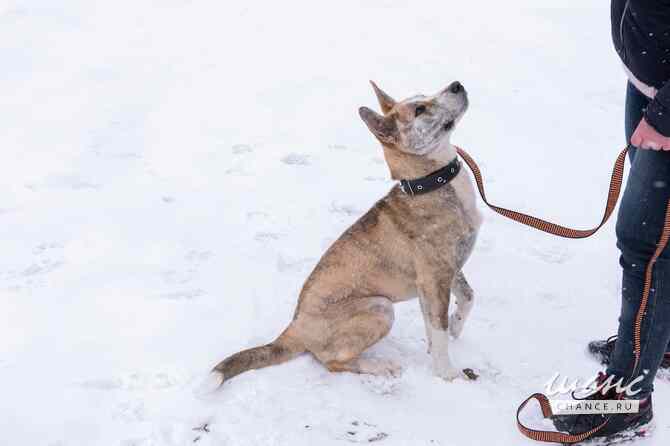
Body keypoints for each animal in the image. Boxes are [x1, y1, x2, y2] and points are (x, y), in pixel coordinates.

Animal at [213, 80, 480, 384]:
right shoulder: (434, 278)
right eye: (419, 109)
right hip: (380, 307)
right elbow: (438, 329)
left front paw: (454, 329)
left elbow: (467, 298)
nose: (457, 85)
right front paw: (447, 373)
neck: (429, 182)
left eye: (423, 96)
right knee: (331, 362)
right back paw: (379, 366)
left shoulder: (450, 268)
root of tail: (293, 328)